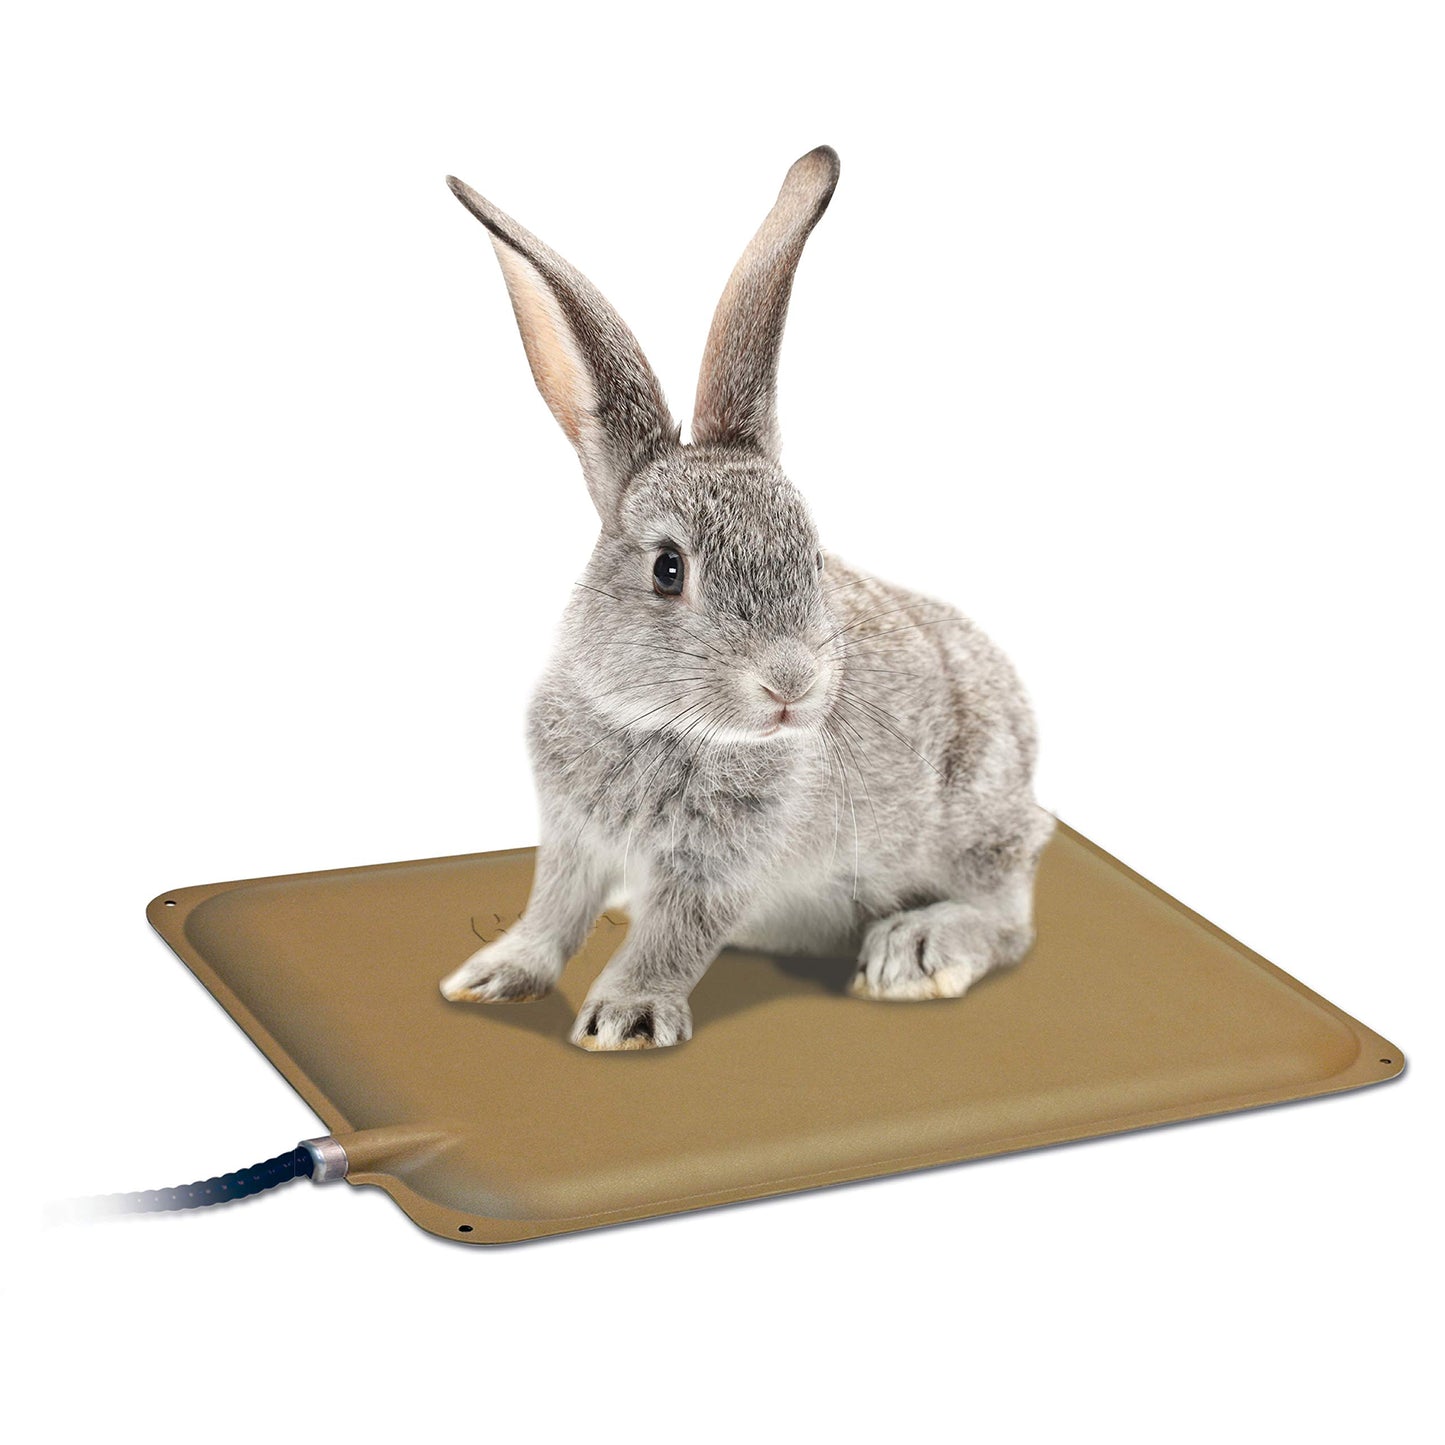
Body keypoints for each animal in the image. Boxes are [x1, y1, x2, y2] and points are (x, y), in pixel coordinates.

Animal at [439, 145, 1054, 1050]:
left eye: (811, 556)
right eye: (668, 568)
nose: (791, 682)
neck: (659, 723)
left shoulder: (721, 864)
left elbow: (673, 935)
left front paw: (624, 1017)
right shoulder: (573, 836)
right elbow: (554, 909)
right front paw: (492, 975)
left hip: (974, 817)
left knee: (1008, 914)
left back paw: (915, 949)